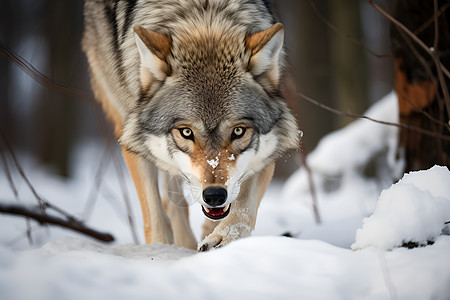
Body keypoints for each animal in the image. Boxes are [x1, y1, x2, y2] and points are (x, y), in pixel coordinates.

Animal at [81, 0, 298, 251]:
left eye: (238, 131)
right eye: (186, 132)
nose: (214, 195)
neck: (205, 15)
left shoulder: (269, 149)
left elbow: (242, 209)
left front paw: (221, 239)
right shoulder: (132, 139)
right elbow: (154, 217)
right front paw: (158, 251)